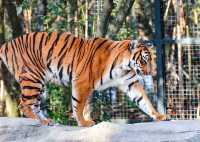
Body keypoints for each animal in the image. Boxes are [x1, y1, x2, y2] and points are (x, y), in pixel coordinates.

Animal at [0, 31, 166, 126]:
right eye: (144, 60)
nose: (151, 72)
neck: (124, 66)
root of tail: (7, 44)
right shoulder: (82, 82)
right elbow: (78, 105)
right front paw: (84, 123)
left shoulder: (130, 83)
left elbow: (144, 100)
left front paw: (159, 116)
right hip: (33, 78)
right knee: (24, 104)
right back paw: (40, 121)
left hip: (40, 83)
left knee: (34, 104)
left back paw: (46, 120)